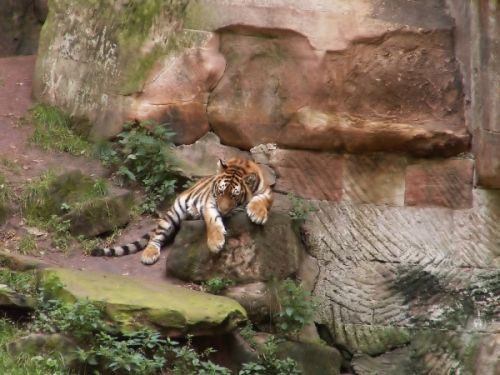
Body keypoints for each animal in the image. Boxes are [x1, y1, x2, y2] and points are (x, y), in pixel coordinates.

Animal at [90, 157, 274, 266]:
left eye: (234, 195)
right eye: (220, 192)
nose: (223, 210)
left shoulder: (267, 191)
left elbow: (262, 200)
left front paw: (257, 214)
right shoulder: (209, 202)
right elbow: (212, 220)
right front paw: (215, 243)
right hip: (172, 215)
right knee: (156, 237)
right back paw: (149, 254)